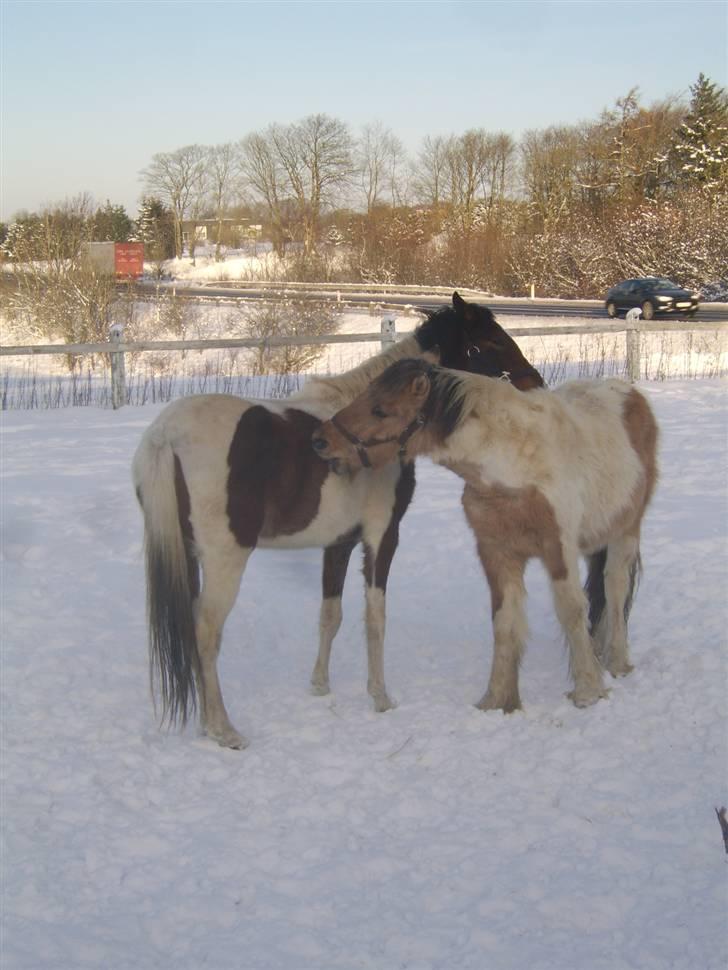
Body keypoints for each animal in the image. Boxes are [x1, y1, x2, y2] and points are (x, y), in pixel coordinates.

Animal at [131, 292, 544, 744]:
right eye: (490, 342)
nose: (535, 382)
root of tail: (166, 434)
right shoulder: (383, 535)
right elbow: (375, 618)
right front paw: (380, 698)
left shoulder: (339, 541)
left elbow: (330, 615)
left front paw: (319, 686)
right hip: (225, 559)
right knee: (206, 631)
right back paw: (224, 729)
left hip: (189, 556)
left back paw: (209, 722)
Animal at [314, 356, 660, 712]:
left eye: (380, 410)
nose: (320, 440)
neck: (515, 466)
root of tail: (630, 394)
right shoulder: (496, 552)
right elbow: (504, 621)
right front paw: (497, 699)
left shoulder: (558, 548)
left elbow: (571, 611)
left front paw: (588, 691)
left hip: (626, 531)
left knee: (615, 587)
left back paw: (617, 662)